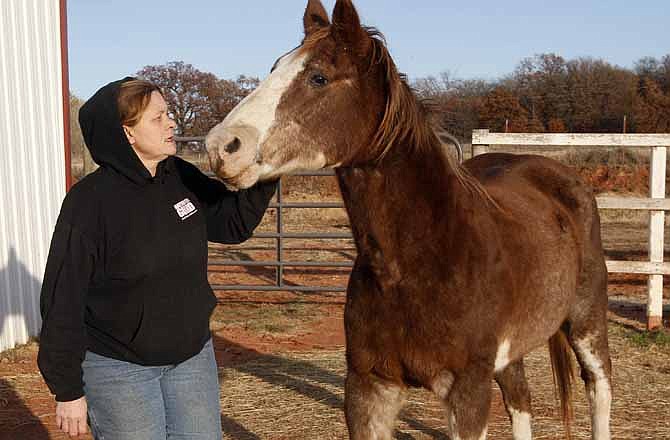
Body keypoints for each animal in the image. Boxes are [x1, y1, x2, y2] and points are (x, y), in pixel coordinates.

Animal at [205, 1, 616, 438]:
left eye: (319, 77)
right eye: (274, 68)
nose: (221, 147)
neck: (420, 260)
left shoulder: (467, 391)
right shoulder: (370, 386)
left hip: (587, 323)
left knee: (598, 387)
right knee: (521, 400)